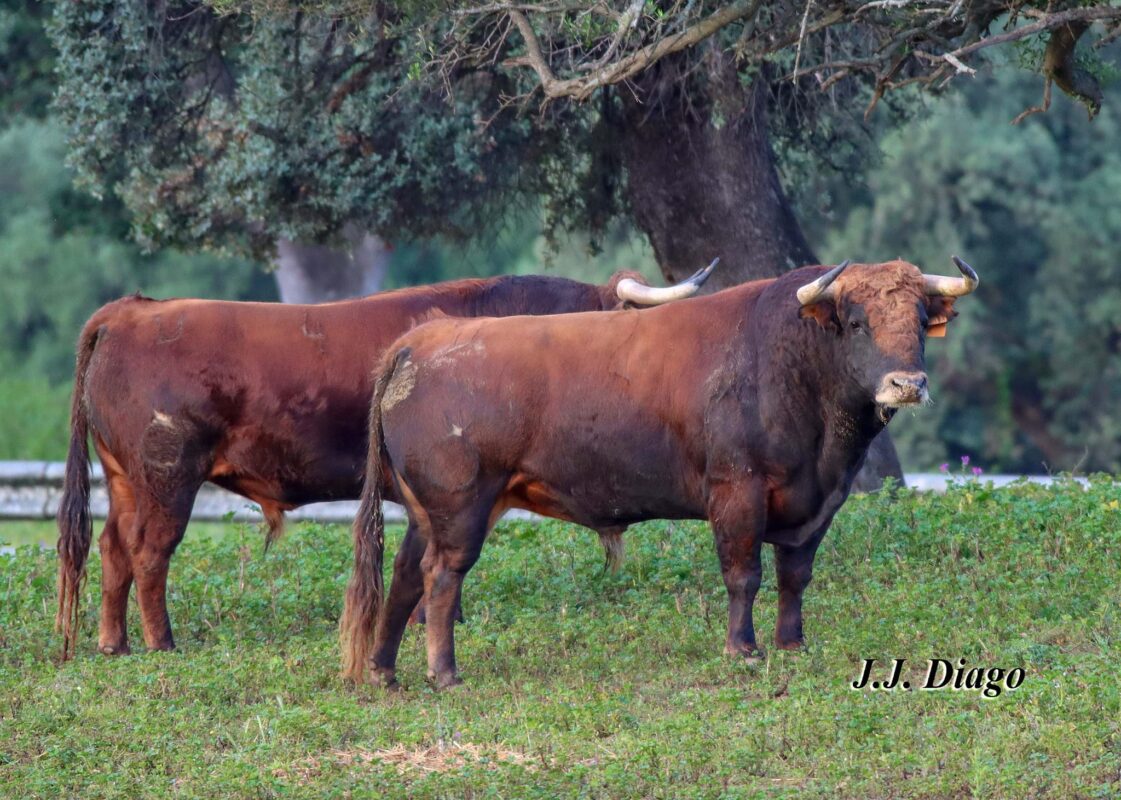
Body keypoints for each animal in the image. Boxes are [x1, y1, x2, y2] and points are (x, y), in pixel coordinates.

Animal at [343, 256, 981, 685]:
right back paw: (444, 672)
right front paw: (743, 648)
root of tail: (422, 339)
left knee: (404, 575)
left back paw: (383, 670)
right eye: (855, 322)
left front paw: (792, 643)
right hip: (460, 509)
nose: (907, 383)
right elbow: (743, 573)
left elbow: (794, 576)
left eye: (920, 319)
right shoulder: (737, 492)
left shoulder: (817, 504)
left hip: (425, 512)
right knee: (441, 578)